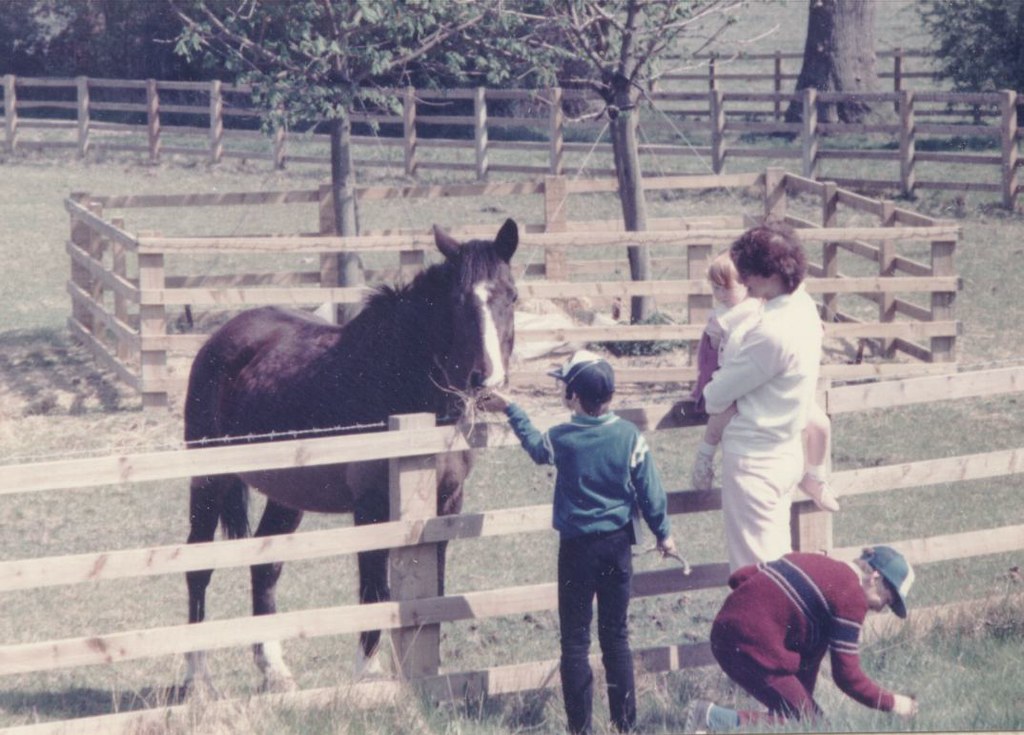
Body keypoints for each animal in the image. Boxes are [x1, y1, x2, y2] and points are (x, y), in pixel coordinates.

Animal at [181, 219, 519, 693]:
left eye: (512, 296)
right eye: (457, 302)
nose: (486, 381)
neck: (402, 380)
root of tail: (222, 337)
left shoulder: (447, 504)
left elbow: (432, 589)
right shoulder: (372, 508)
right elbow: (374, 590)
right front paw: (369, 675)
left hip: (287, 495)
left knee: (265, 567)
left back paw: (274, 668)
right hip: (210, 482)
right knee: (198, 568)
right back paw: (198, 678)